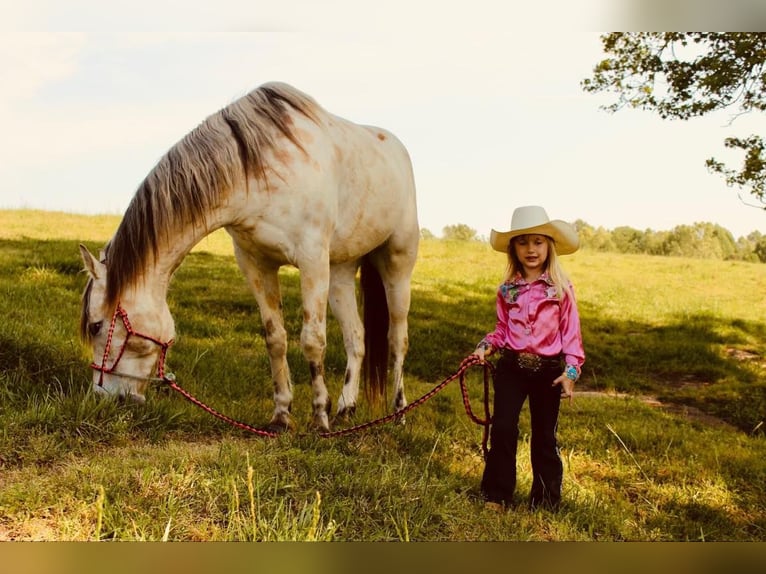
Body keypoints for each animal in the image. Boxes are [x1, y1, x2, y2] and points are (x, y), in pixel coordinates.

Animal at [78, 81, 420, 432]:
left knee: (397, 340)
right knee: (356, 338)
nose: (104, 398)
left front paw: (319, 420)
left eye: (96, 326)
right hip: (340, 273)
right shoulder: (256, 264)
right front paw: (282, 416)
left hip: (397, 265)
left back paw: (398, 412)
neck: (260, 172)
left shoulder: (312, 261)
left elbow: (313, 340)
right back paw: (346, 408)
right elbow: (275, 339)